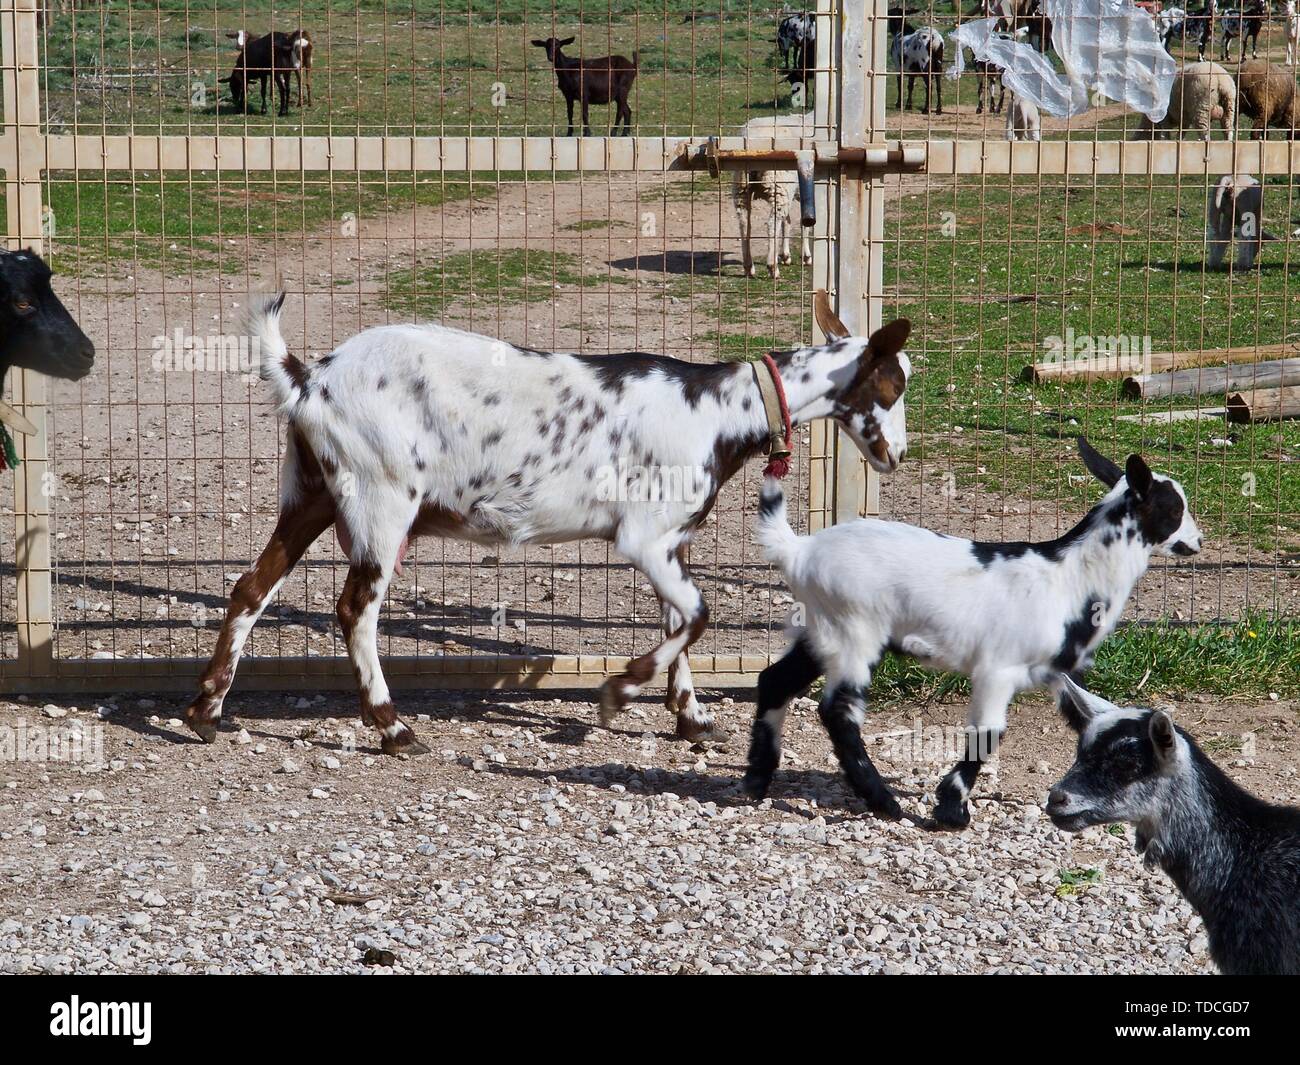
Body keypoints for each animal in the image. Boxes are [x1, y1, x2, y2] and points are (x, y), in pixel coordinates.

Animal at [182, 297, 912, 756]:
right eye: (892, 387)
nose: (896, 455)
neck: (717, 410)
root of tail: (310, 378)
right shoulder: (644, 537)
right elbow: (699, 616)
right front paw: (619, 692)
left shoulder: (670, 543)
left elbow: (680, 619)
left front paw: (693, 720)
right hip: (380, 501)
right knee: (354, 608)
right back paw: (393, 729)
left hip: (310, 494)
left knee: (252, 587)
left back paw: (206, 711)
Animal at [732, 113, 814, 279]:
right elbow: (805, 224)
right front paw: (806, 256)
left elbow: (788, 222)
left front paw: (786, 255)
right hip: (779, 186)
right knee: (772, 224)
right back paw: (772, 267)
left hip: (742, 188)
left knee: (744, 224)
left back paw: (749, 266)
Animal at [744, 437, 1202, 827]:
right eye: (1175, 508)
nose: (1199, 541)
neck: (1071, 576)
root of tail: (798, 551)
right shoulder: (998, 669)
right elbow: (988, 733)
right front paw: (952, 810)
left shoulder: (1056, 671)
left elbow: (1091, 718)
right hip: (854, 631)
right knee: (837, 711)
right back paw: (883, 801)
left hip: (818, 628)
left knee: (774, 680)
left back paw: (757, 779)